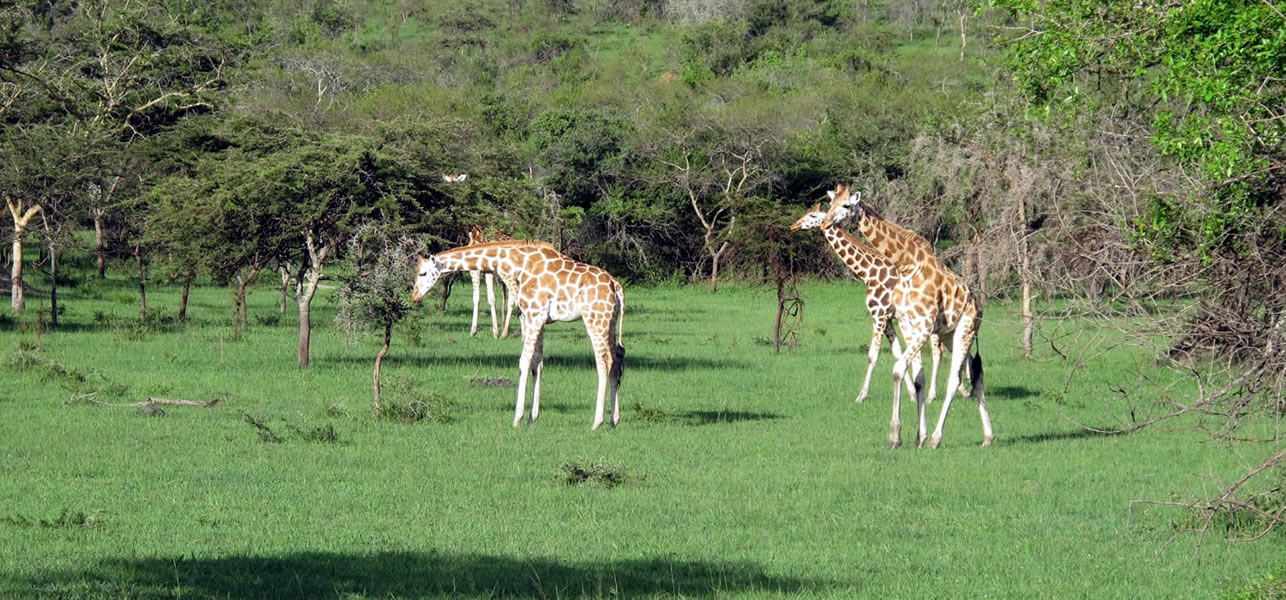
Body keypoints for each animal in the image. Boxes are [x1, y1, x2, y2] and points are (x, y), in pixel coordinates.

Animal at [408, 241, 624, 429]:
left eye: (423, 273)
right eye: (415, 272)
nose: (414, 297)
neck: (518, 263)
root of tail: (617, 287)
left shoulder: (534, 314)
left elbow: (524, 362)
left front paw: (517, 418)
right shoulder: (536, 318)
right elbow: (537, 363)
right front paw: (532, 418)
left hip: (595, 319)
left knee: (604, 362)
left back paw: (596, 422)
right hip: (610, 322)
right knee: (616, 360)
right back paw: (614, 420)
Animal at [787, 204, 920, 405]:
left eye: (813, 215)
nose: (793, 225)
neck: (868, 273)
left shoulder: (879, 314)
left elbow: (873, 355)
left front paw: (861, 395)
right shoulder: (888, 318)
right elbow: (897, 353)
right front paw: (911, 394)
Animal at [823, 185, 992, 449]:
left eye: (846, 205)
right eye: (830, 204)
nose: (826, 222)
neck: (906, 266)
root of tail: (978, 304)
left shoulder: (922, 325)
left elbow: (898, 369)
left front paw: (896, 435)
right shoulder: (908, 324)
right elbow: (917, 377)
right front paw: (917, 437)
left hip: (965, 329)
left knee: (954, 379)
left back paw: (937, 438)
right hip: (951, 334)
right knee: (976, 372)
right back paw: (987, 437)